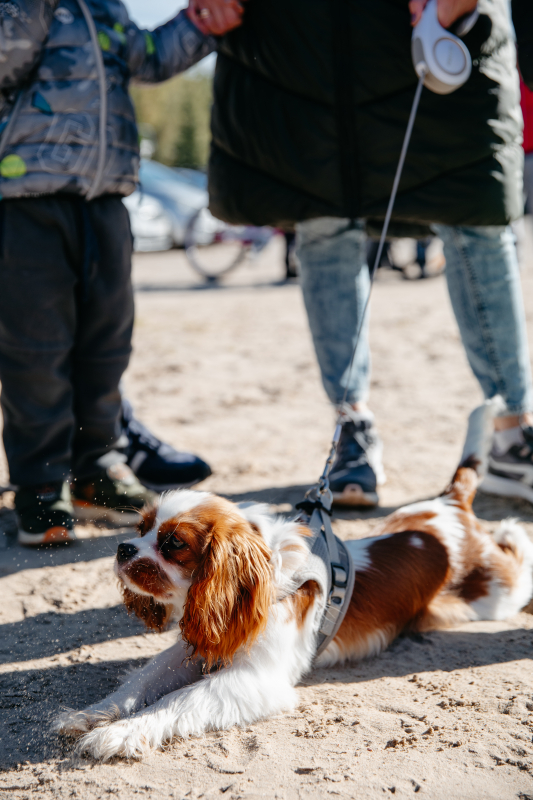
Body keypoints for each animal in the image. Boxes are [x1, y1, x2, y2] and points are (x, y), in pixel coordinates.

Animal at [54, 460, 532, 760]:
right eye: (140, 529)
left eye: (173, 544)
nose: (123, 548)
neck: (270, 579)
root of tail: (453, 503)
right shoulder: (204, 642)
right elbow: (146, 678)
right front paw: (96, 713)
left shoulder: (255, 678)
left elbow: (176, 701)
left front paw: (118, 734)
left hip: (496, 595)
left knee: (518, 561)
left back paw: (512, 530)